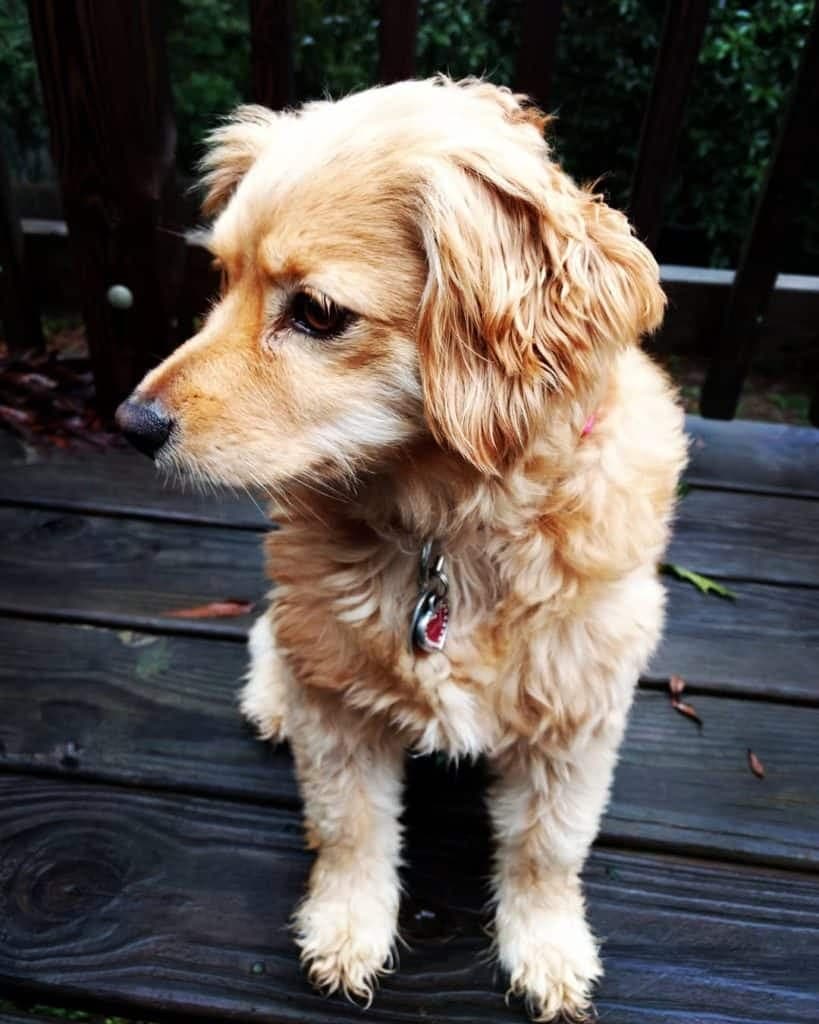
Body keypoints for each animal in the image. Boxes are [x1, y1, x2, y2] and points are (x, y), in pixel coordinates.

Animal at [116, 75, 683, 1019]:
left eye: (315, 313)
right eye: (222, 282)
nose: (130, 424)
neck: (446, 532)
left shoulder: (577, 718)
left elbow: (547, 849)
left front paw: (548, 949)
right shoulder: (337, 706)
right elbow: (349, 827)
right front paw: (347, 930)